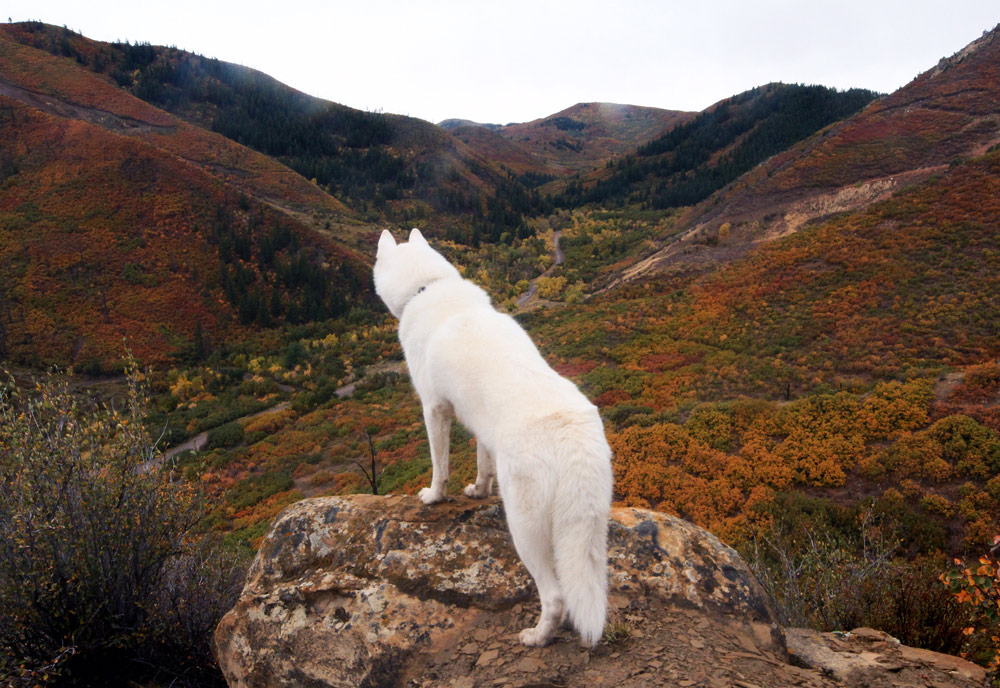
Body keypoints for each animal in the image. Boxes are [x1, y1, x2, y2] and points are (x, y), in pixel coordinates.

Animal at [373, 228, 613, 647]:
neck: (428, 286)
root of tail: (568, 435)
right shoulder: (477, 423)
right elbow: (482, 464)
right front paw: (478, 491)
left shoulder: (435, 410)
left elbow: (439, 466)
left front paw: (433, 496)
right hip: (591, 536)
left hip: (525, 530)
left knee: (555, 597)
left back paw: (537, 636)